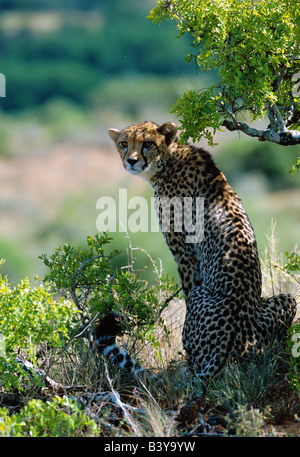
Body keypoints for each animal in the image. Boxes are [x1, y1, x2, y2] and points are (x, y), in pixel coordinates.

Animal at [107, 121, 296, 378]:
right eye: (124, 143)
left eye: (148, 143)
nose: (132, 161)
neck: (168, 161)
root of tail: (241, 341)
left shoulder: (184, 255)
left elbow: (187, 293)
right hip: (287, 300)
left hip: (203, 299)